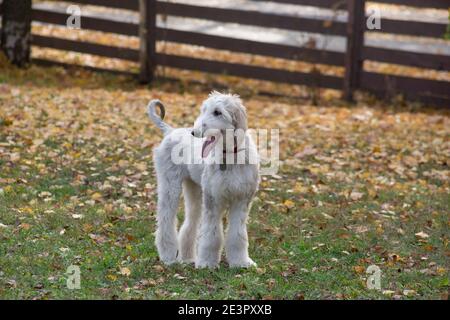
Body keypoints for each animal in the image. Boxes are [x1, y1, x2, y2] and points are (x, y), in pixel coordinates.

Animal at [148, 92, 260, 268]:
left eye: (218, 112)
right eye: (204, 110)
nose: (194, 132)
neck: (229, 156)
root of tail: (170, 131)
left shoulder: (242, 200)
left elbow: (238, 234)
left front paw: (241, 262)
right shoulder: (213, 200)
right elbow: (211, 234)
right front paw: (207, 262)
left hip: (194, 191)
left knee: (190, 224)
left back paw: (187, 258)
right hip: (170, 186)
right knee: (166, 221)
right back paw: (168, 256)